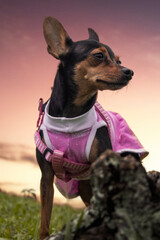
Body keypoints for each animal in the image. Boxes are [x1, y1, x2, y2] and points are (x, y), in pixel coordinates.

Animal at [34, 15, 148, 239]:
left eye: (118, 60)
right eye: (99, 56)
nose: (129, 71)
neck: (71, 115)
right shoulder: (47, 178)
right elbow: (44, 221)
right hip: (86, 188)